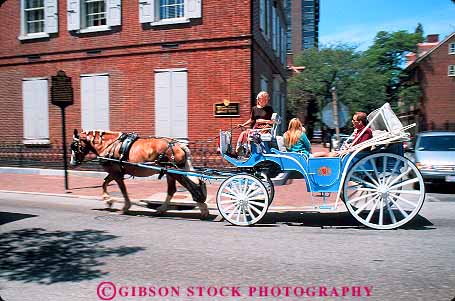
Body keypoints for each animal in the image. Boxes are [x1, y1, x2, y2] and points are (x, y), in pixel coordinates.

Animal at [70, 127, 209, 217]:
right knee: (172, 190)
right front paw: (108, 200)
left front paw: (123, 206)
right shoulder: (115, 172)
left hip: (174, 172)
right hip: (169, 172)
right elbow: (104, 183)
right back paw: (162, 209)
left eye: (74, 146)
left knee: (192, 186)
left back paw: (203, 208)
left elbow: (122, 190)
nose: (72, 163)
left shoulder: (116, 173)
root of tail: (178, 144)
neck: (109, 145)